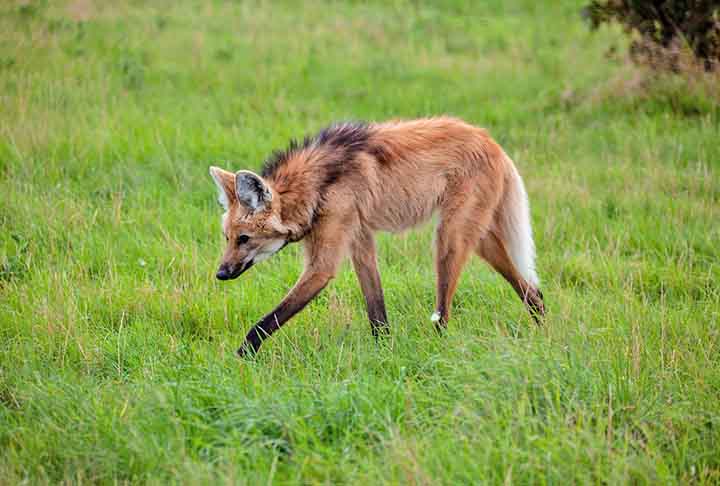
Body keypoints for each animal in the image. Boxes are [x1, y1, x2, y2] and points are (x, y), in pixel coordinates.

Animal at [209, 117, 545, 357]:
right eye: (227, 238)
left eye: (244, 239)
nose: (220, 274)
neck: (316, 187)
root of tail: (490, 140)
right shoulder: (360, 238)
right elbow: (377, 311)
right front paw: (384, 352)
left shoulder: (323, 264)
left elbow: (267, 321)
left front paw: (240, 358)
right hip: (480, 238)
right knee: (532, 290)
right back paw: (544, 330)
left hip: (449, 238)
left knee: (444, 312)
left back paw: (439, 348)